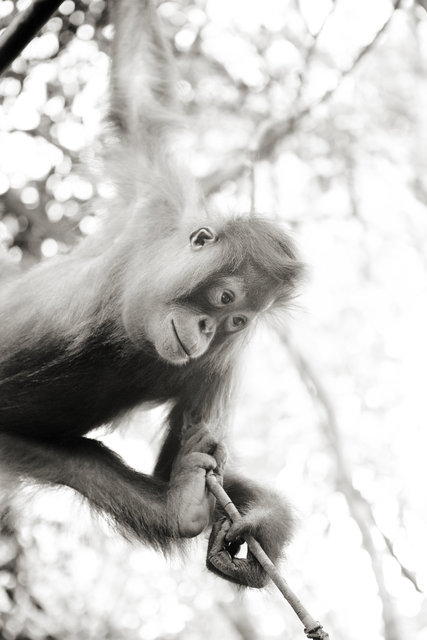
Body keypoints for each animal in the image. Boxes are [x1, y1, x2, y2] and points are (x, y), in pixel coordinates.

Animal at [0, 0, 303, 588]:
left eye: (237, 324)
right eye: (227, 300)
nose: (208, 328)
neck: (126, 319)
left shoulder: (216, 366)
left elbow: (170, 463)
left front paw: (260, 518)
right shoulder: (158, 199)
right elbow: (140, 98)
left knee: (83, 464)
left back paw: (181, 506)